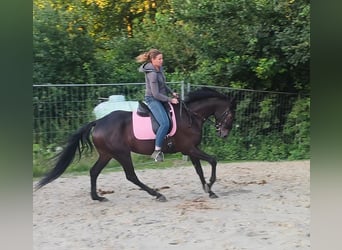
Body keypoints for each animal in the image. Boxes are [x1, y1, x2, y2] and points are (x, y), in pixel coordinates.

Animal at [36, 87, 236, 201]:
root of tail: (98, 122)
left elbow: (199, 170)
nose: (224, 134)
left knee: (94, 172)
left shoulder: (191, 150)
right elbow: (213, 160)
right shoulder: (190, 148)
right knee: (131, 176)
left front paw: (208, 190)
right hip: (122, 154)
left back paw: (97, 197)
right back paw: (157, 194)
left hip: (107, 154)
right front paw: (211, 186)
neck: (190, 116)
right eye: (231, 115)